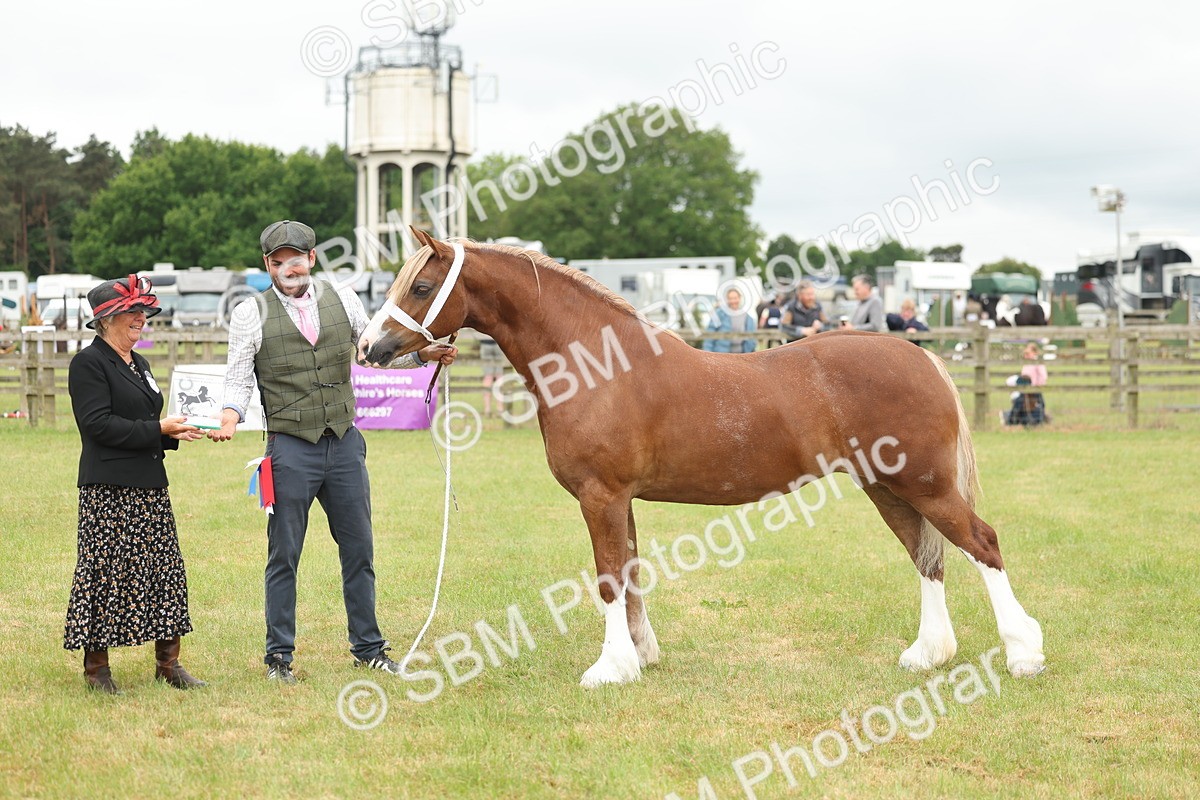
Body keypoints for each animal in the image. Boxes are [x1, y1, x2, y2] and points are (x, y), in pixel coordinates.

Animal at [357, 228, 1045, 687]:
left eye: (421, 286)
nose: (370, 348)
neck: (596, 364)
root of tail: (921, 355)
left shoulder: (601, 496)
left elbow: (608, 578)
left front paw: (609, 669)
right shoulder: (620, 500)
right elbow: (630, 574)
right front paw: (640, 656)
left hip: (925, 484)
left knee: (981, 543)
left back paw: (1022, 653)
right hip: (889, 488)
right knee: (928, 558)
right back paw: (928, 654)